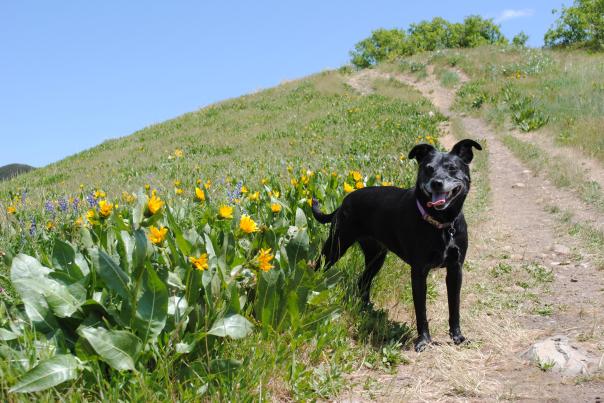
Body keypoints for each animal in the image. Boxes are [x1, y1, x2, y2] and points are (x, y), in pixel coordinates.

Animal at [312, 140, 482, 354]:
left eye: (452, 168)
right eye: (428, 168)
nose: (436, 182)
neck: (441, 223)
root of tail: (344, 201)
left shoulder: (455, 269)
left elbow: (455, 306)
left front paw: (457, 337)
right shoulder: (419, 272)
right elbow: (421, 311)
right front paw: (423, 341)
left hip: (376, 256)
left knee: (363, 281)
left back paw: (367, 309)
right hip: (335, 246)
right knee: (318, 267)